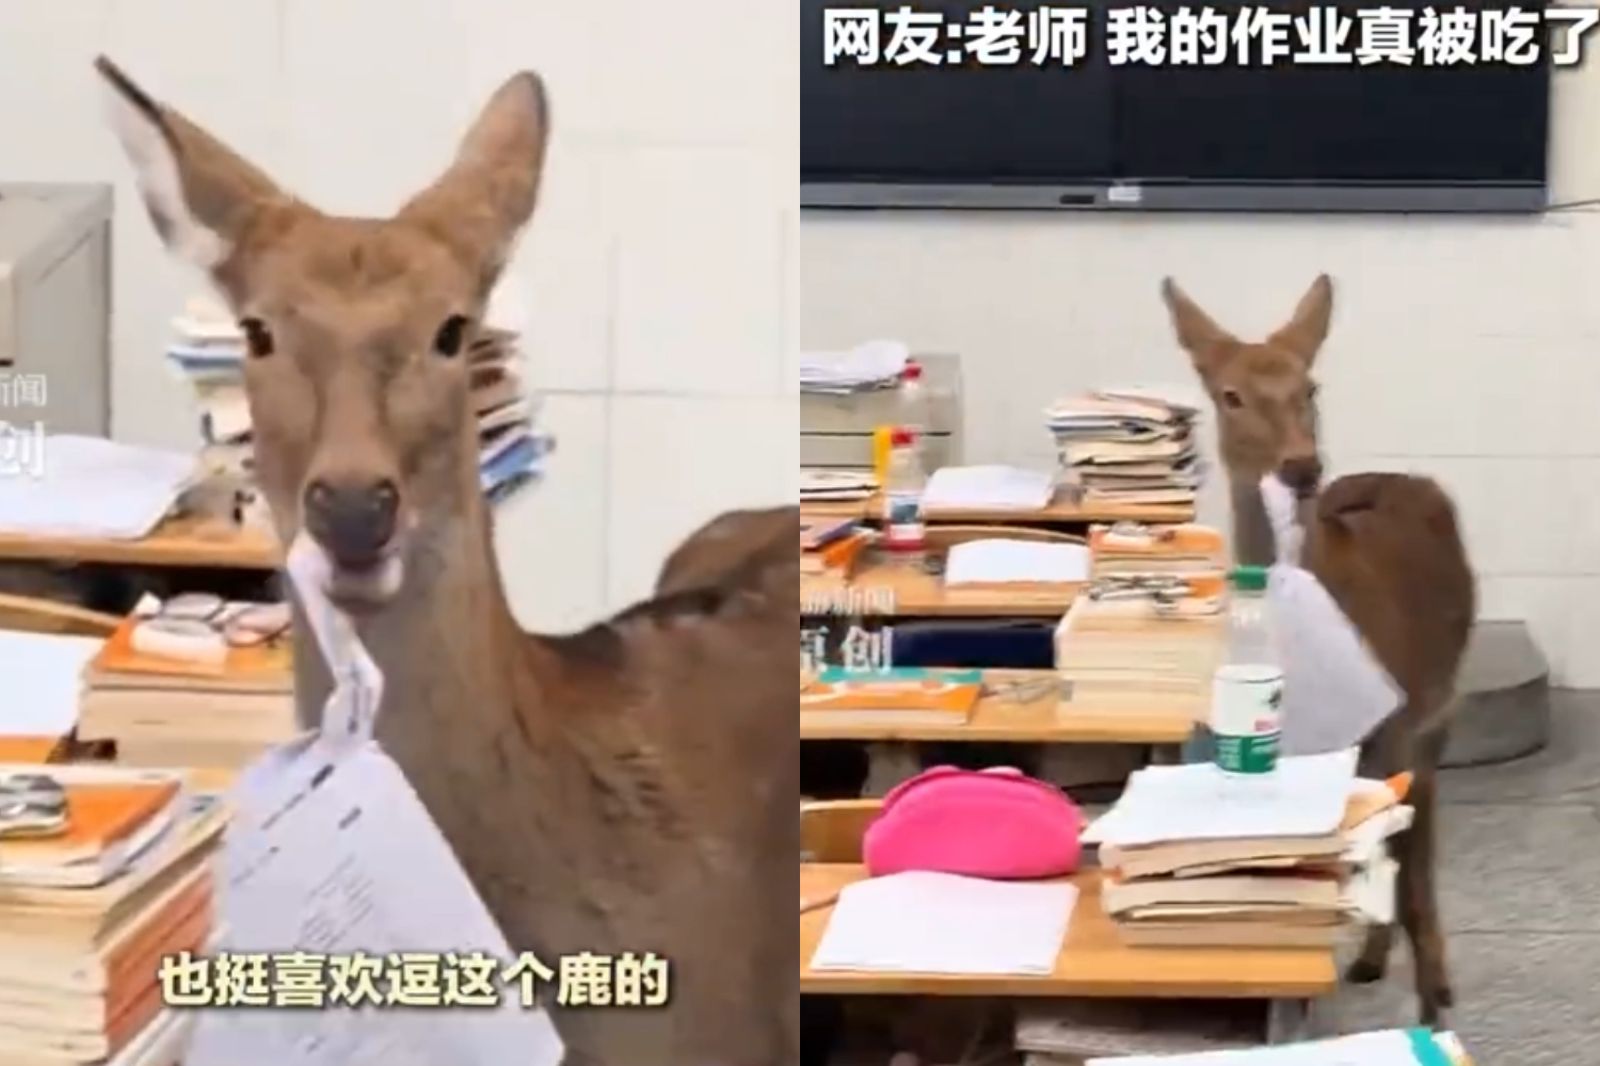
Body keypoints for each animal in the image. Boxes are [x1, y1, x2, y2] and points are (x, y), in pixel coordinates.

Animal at [1161, 275, 1475, 1025]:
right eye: (1230, 394)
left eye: (1311, 385)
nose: (1302, 466)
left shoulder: (1401, 725)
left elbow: (1408, 868)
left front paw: (1431, 1016)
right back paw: (1368, 958)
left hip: (1440, 705)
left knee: (1418, 847)